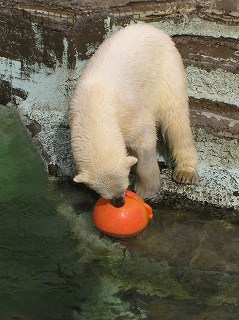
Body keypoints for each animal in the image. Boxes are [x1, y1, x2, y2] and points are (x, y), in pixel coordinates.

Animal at [69, 23, 198, 208]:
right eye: (105, 194)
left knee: (175, 118)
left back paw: (185, 172)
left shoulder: (128, 113)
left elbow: (145, 140)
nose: (120, 203)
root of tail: (153, 29)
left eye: (123, 188)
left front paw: (145, 190)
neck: (93, 106)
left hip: (168, 71)